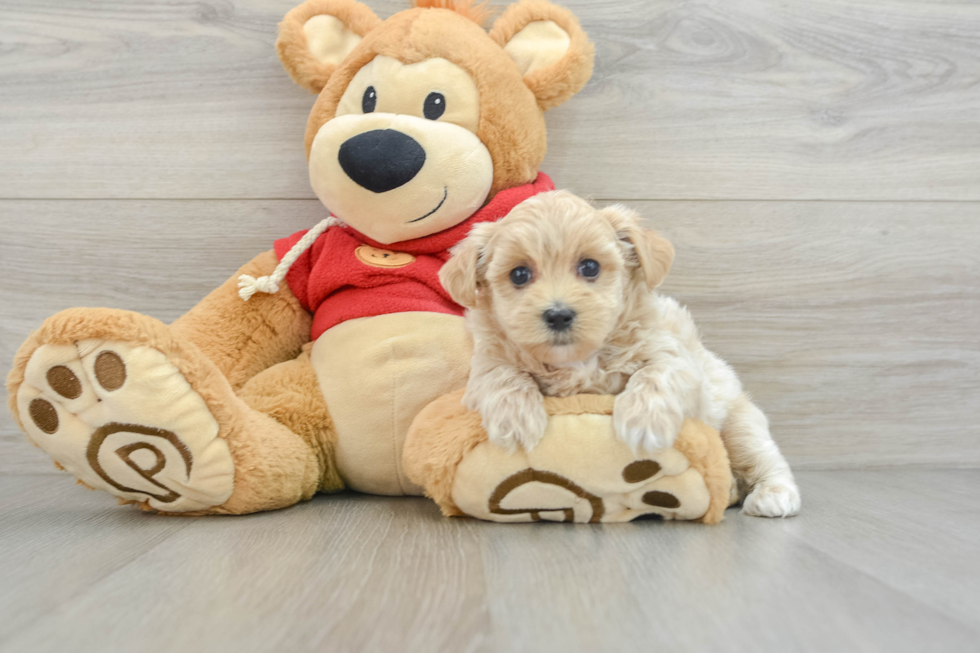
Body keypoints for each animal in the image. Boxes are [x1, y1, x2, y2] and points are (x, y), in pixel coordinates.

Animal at [440, 190, 800, 520]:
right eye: (518, 274)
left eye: (590, 267)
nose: (558, 315)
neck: (578, 359)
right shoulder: (486, 362)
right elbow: (502, 375)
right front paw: (515, 421)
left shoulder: (676, 357)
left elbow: (656, 373)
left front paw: (644, 422)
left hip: (739, 422)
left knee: (764, 457)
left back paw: (773, 496)